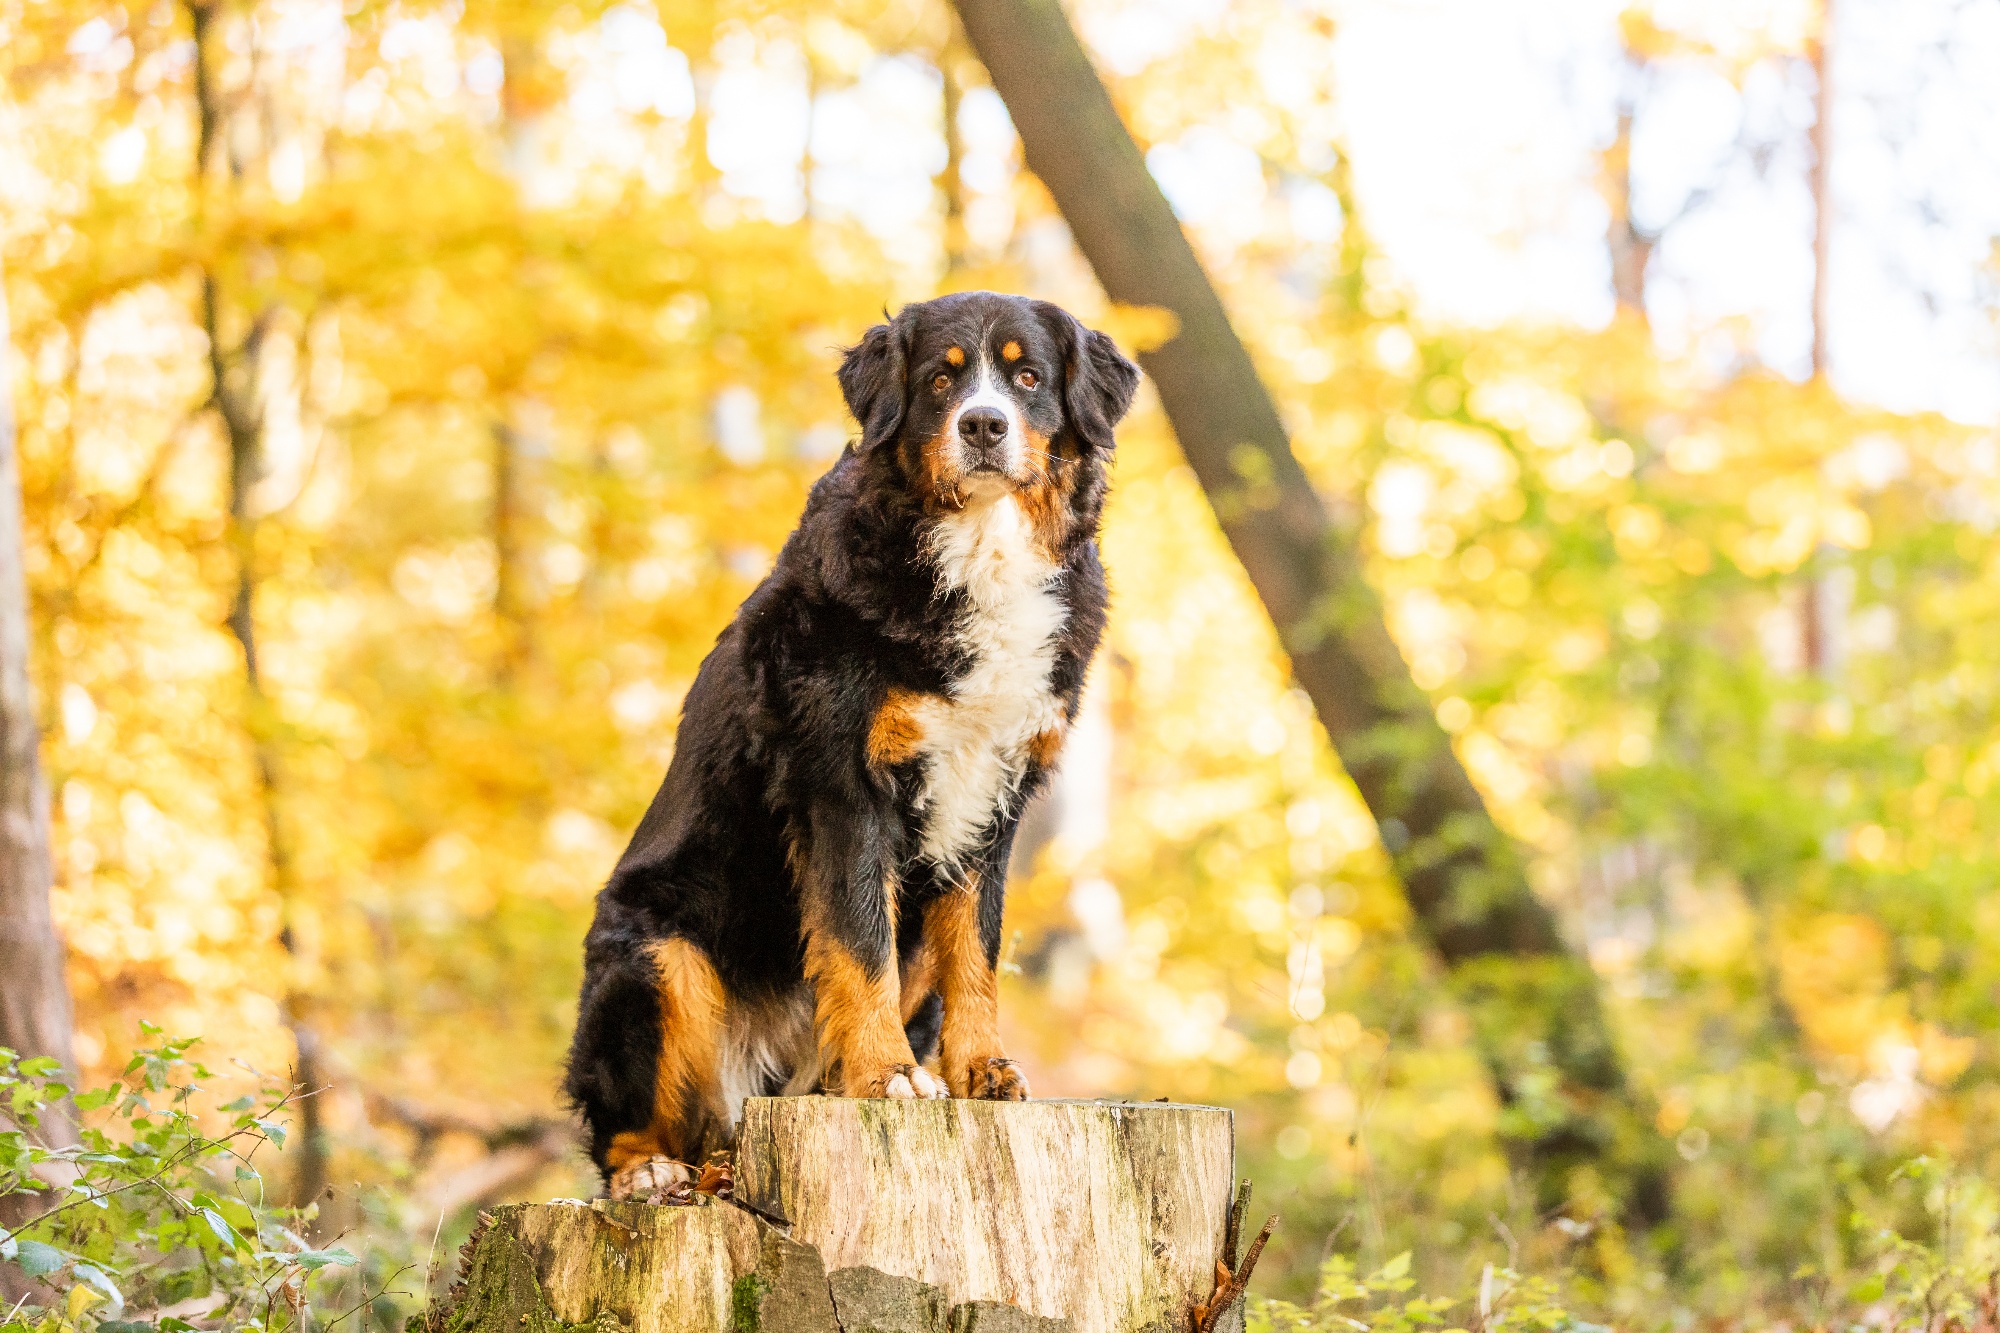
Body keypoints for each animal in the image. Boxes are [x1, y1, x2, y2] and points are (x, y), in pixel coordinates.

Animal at [564, 288, 1144, 1192]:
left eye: (1028, 377)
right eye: (941, 380)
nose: (984, 423)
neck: (979, 552)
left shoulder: (995, 796)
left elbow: (975, 949)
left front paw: (977, 1068)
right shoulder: (842, 781)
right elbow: (858, 939)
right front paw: (889, 1075)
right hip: (655, 956)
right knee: (629, 1127)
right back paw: (650, 1172)